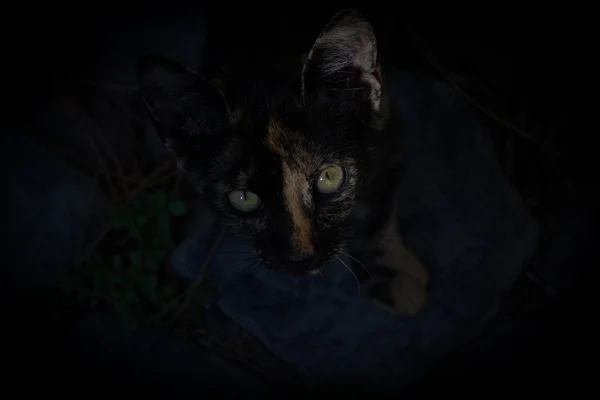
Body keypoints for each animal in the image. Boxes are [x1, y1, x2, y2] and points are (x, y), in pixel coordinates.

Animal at [135, 8, 428, 316]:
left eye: (330, 177)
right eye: (243, 198)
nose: (302, 259)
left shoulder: (387, 133)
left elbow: (377, 215)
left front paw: (391, 275)